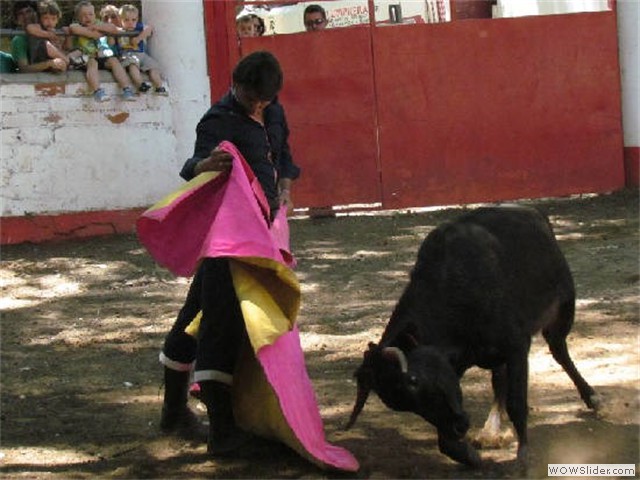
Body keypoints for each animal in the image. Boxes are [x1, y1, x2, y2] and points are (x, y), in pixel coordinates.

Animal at [345, 205, 600, 467]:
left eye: (413, 380)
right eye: (402, 403)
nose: (459, 427)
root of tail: (532, 212)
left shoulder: (516, 346)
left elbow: (517, 402)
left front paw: (523, 455)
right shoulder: (454, 367)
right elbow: (447, 439)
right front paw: (469, 454)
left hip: (563, 309)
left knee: (559, 351)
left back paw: (592, 396)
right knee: (499, 380)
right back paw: (491, 430)